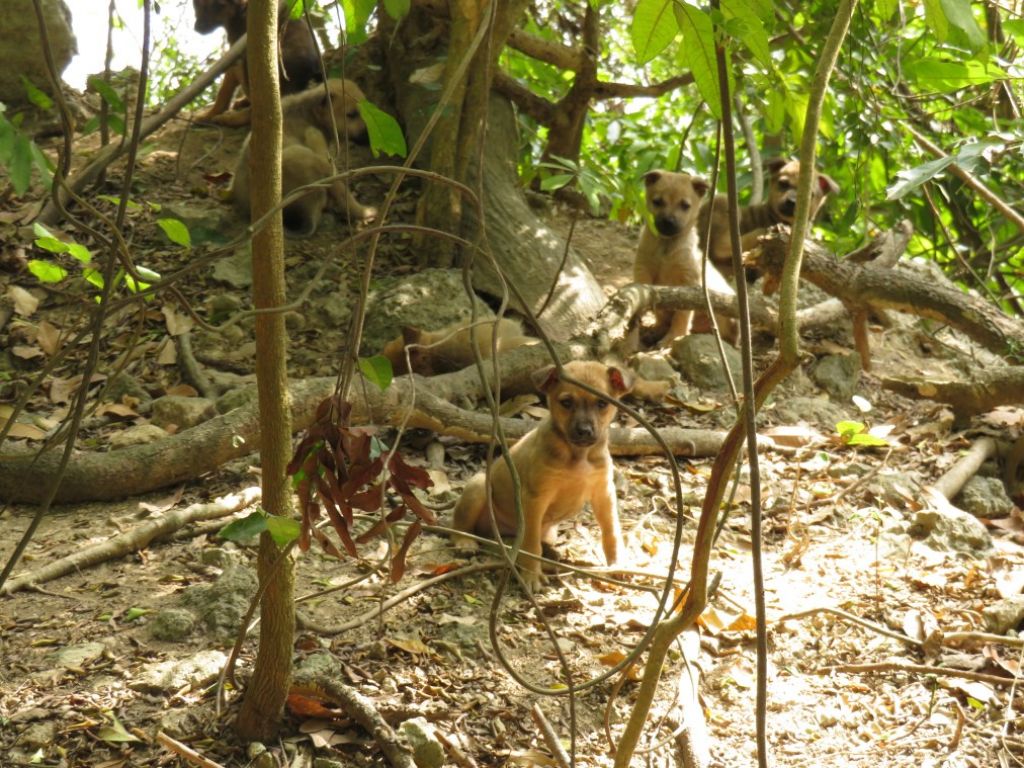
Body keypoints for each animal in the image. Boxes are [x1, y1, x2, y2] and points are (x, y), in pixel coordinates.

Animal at [230, 77, 378, 237]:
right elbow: (343, 193)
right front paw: (364, 212)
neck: (309, 113)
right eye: (351, 115)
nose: (370, 138)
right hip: (299, 154)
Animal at [630, 171, 737, 348]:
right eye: (657, 201)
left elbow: (681, 315)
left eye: (685, 205)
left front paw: (673, 338)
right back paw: (655, 332)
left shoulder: (688, 282)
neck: (666, 246)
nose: (668, 222)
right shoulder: (643, 268)